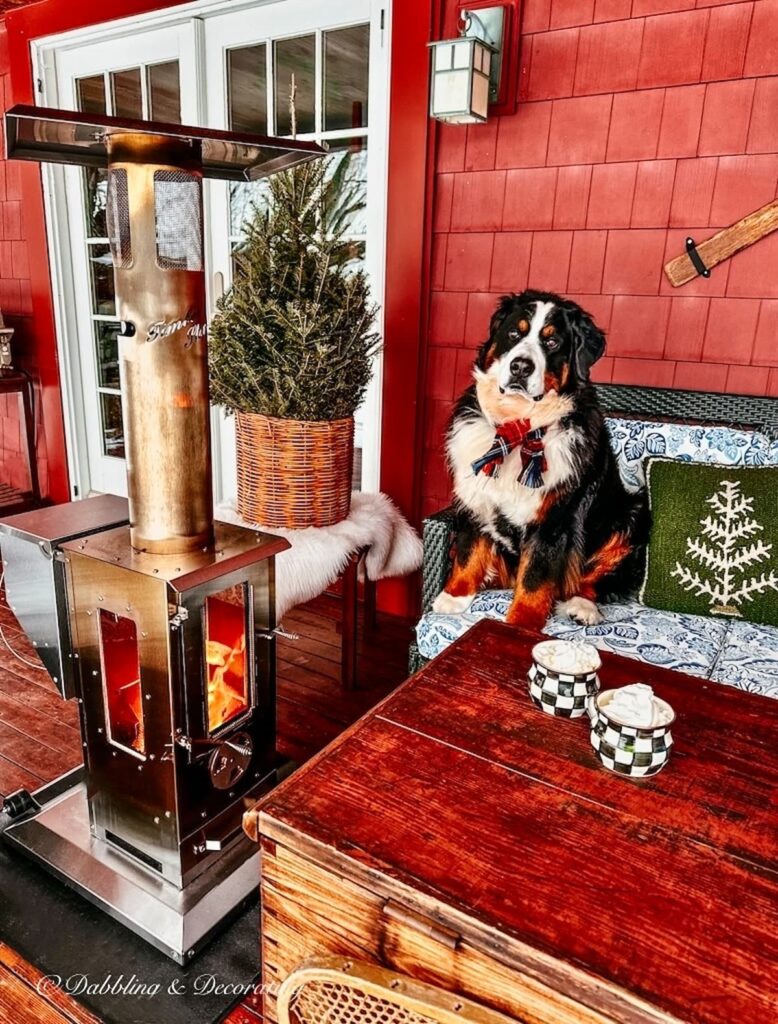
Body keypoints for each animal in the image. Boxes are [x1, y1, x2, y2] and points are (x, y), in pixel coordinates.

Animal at [434, 288, 646, 630]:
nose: (520, 367)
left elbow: (535, 577)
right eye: (514, 333)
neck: (518, 427)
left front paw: (520, 625)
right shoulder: (475, 495)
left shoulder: (553, 519)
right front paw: (455, 595)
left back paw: (581, 606)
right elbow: (468, 549)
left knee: (596, 579)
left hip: (633, 511)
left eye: (552, 341)